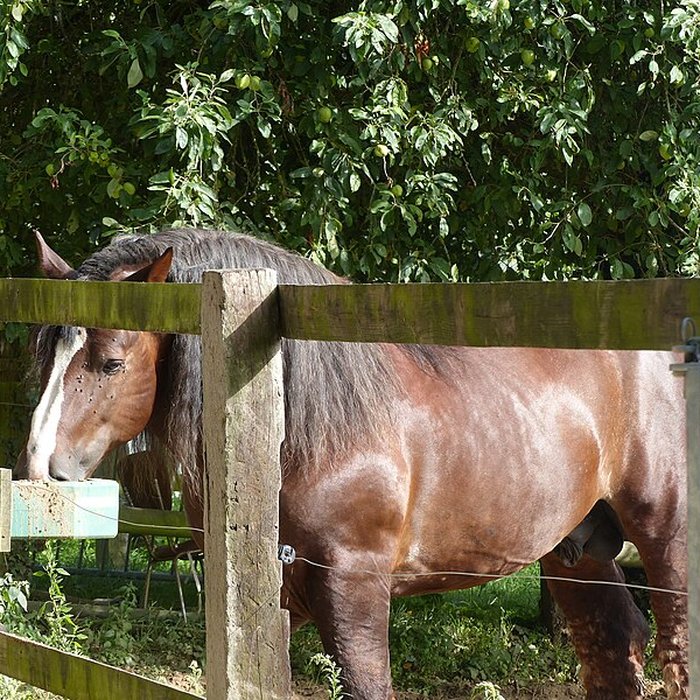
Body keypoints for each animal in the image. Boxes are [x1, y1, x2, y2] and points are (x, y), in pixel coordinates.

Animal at [15, 228, 688, 699]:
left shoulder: (355, 590)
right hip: (576, 552)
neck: (301, 431)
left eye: (111, 363)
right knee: (614, 647)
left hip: (668, 548)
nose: (39, 472)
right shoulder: (275, 604)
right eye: (45, 353)